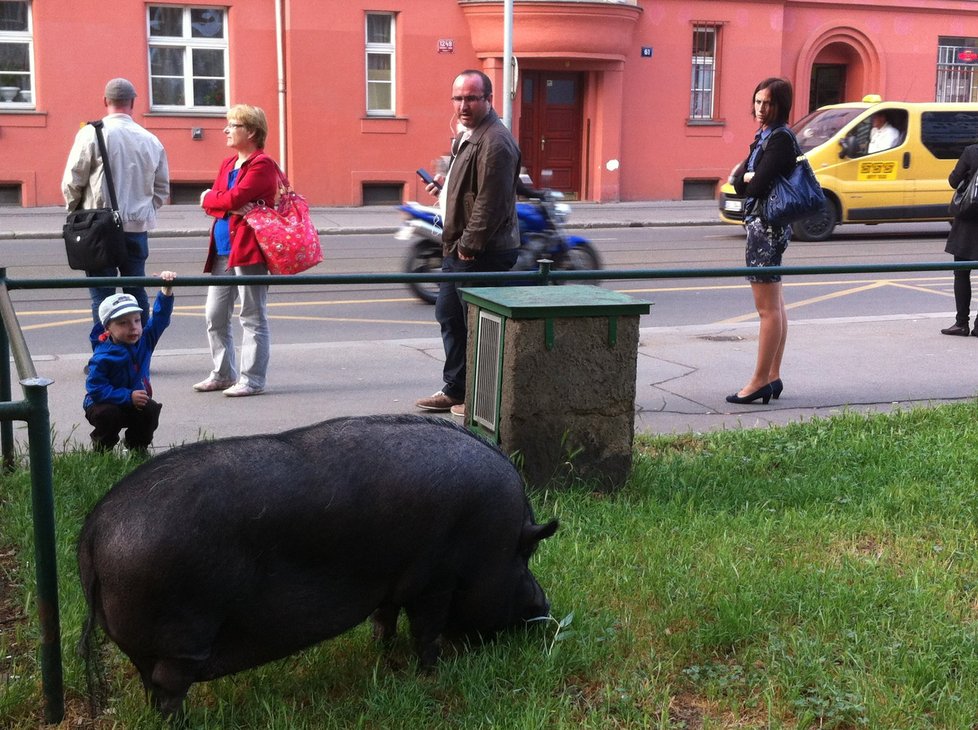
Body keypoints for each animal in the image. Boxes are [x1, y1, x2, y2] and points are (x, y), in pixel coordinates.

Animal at [77, 412, 556, 712]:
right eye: (525, 556)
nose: (545, 607)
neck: (491, 542)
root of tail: (94, 529)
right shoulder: (436, 581)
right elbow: (427, 632)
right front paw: (431, 675)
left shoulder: (391, 580)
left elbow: (384, 617)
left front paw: (383, 653)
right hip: (183, 635)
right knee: (169, 689)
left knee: (150, 686)